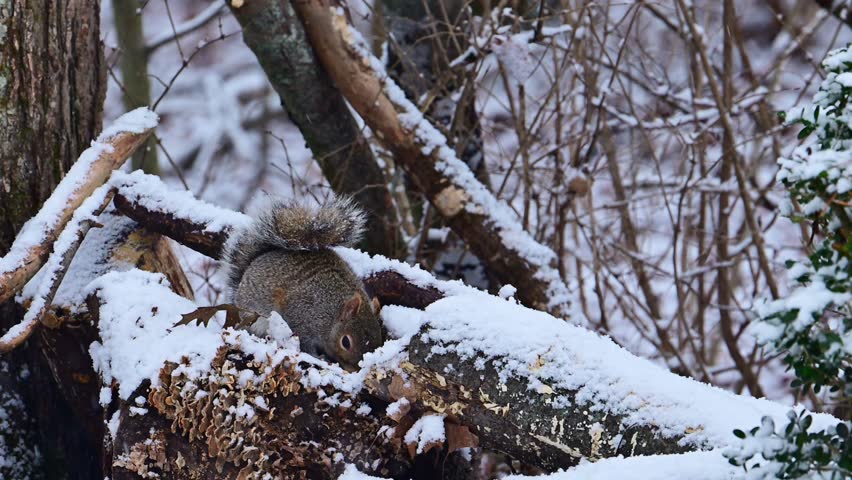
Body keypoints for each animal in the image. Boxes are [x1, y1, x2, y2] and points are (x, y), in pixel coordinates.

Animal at [222, 198, 384, 369]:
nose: (355, 369)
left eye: (379, 340)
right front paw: (318, 357)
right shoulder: (302, 315)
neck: (332, 313)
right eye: (345, 342)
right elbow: (304, 340)